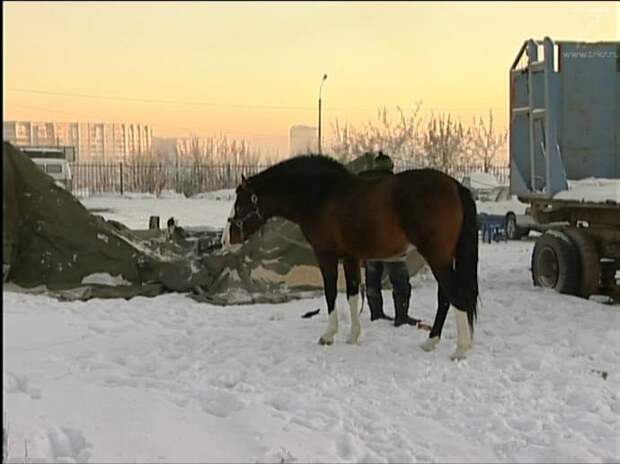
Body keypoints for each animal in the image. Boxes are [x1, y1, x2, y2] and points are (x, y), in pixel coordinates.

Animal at [223, 154, 480, 360]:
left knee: (454, 295)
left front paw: (328, 336)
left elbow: (330, 293)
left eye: (240, 204)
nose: (225, 239)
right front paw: (353, 337)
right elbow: (353, 294)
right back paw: (431, 342)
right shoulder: (351, 258)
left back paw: (460, 349)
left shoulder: (326, 255)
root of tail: (455, 186)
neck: (321, 195)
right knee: (445, 298)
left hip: (437, 256)